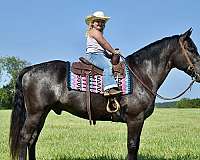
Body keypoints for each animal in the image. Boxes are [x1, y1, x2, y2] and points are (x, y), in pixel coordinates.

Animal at [9, 29, 200, 160]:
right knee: (25, 138)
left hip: (43, 113)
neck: (142, 73)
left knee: (33, 139)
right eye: (191, 49)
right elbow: (132, 146)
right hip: (35, 113)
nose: (199, 72)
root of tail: (30, 69)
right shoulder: (135, 119)